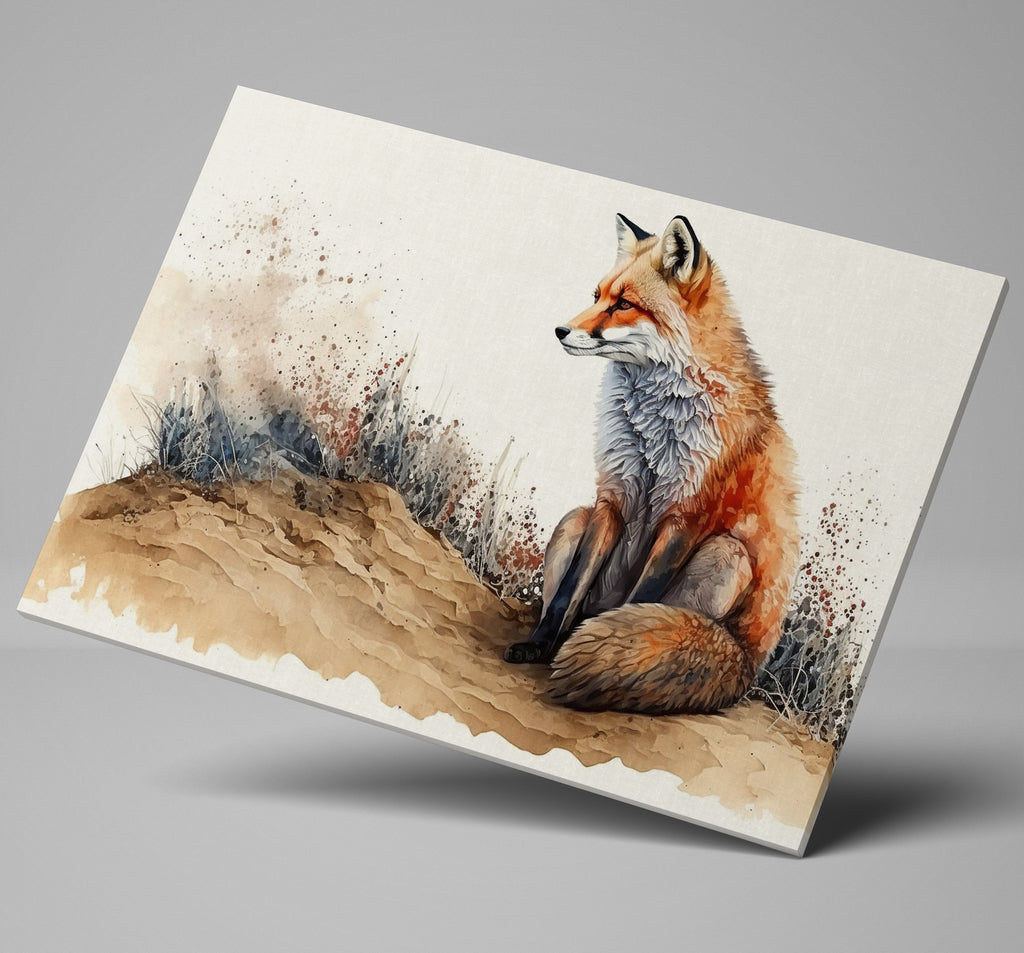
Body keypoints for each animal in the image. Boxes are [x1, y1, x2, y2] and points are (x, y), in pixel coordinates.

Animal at [504, 213, 799, 715]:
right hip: (574, 519)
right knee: (574, 607)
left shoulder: (687, 515)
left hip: (727, 554)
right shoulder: (613, 496)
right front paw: (540, 647)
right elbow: (566, 593)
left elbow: (641, 600)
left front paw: (618, 645)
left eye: (624, 304)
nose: (561, 330)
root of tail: (748, 665)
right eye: (596, 296)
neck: (652, 433)